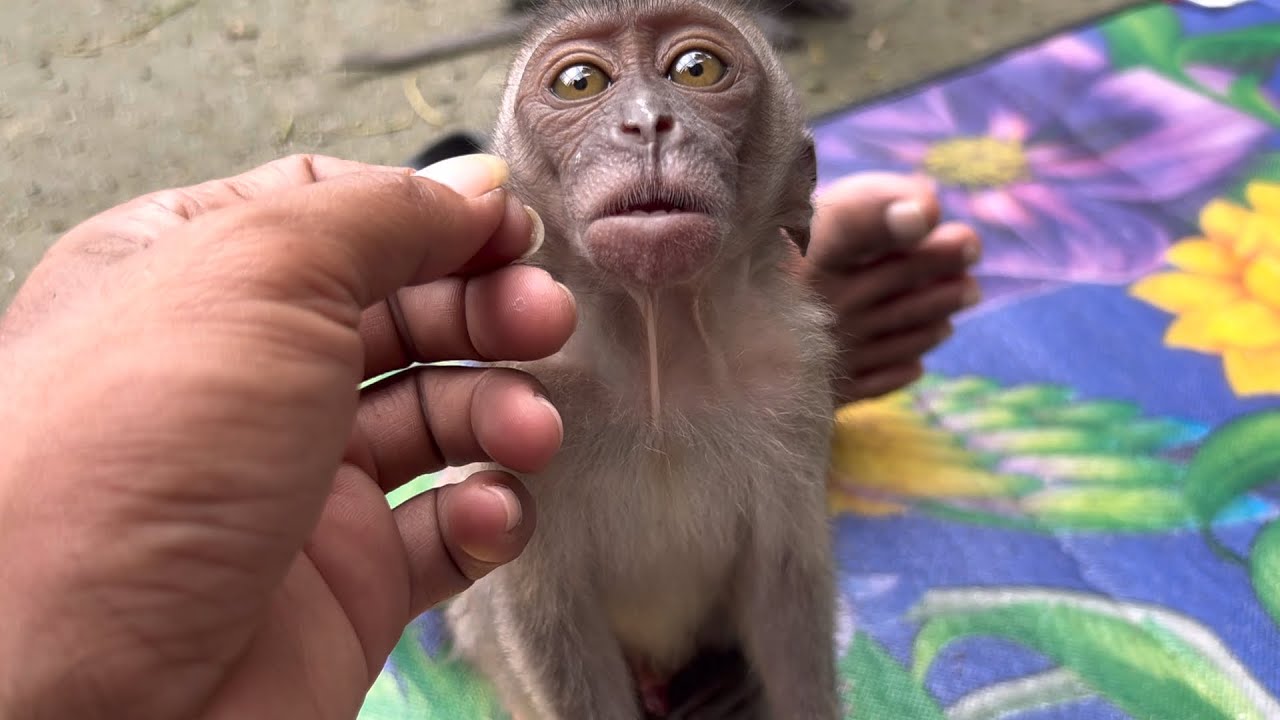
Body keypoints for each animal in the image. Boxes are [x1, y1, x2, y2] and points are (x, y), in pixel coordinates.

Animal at [438, 1, 842, 717]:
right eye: (580, 82)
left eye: (696, 68)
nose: (648, 121)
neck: (659, 356)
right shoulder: (517, 403)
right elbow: (546, 617)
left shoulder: (792, 382)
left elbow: (786, 590)